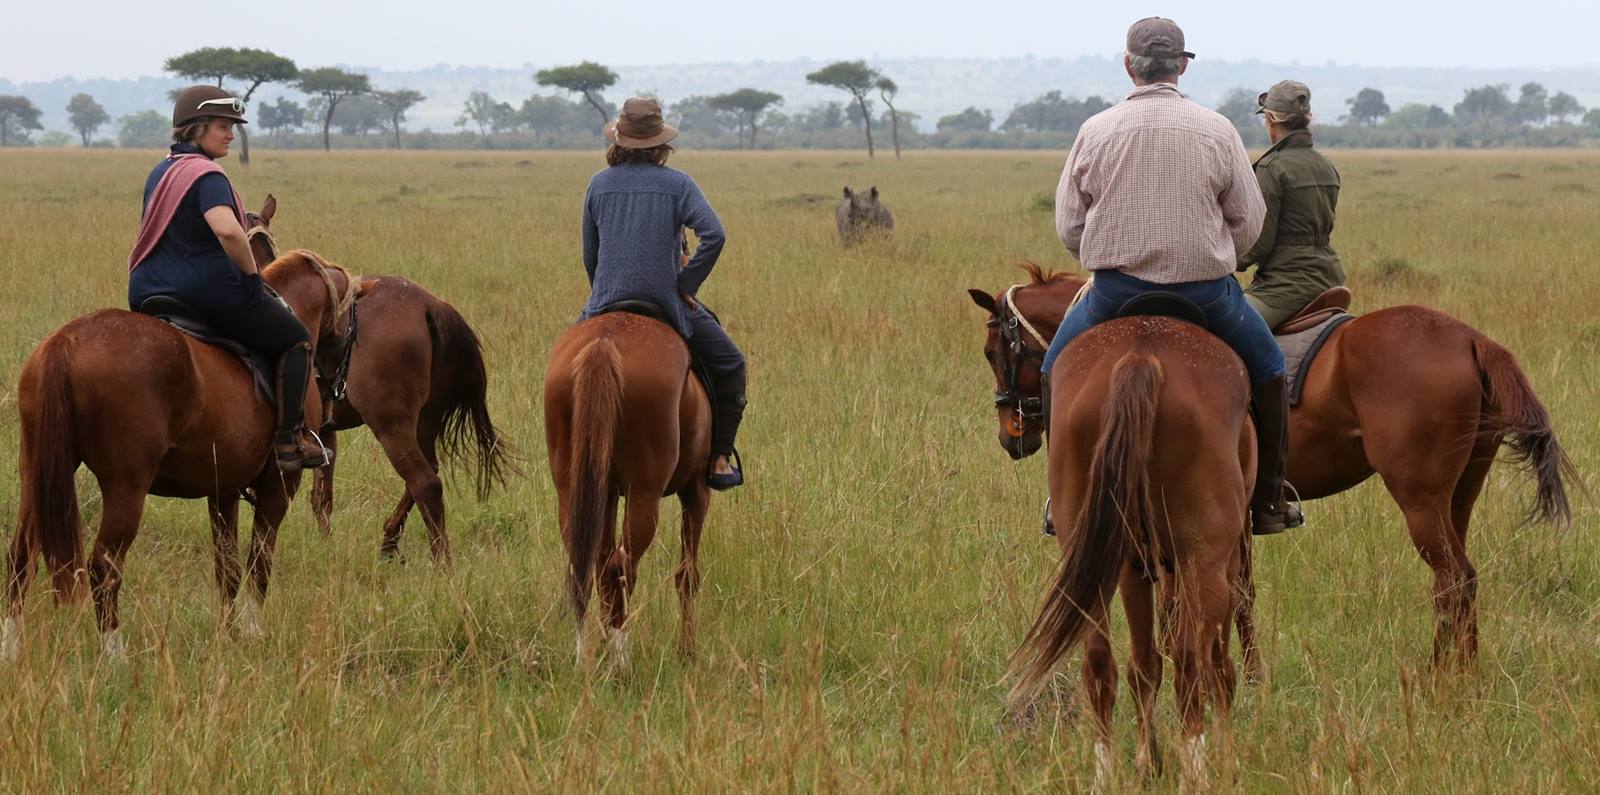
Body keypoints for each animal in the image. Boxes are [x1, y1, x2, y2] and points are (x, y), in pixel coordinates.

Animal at [4, 250, 357, 660]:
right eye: (353, 321)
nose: (335, 393)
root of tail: (68, 340)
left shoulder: (223, 491)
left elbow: (228, 567)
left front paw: (227, 633)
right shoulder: (279, 486)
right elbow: (260, 560)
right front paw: (252, 630)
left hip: (37, 476)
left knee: (20, 558)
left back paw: (10, 649)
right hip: (127, 490)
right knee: (103, 568)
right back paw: (115, 656)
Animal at [245, 196, 514, 563]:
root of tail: (430, 306)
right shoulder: (325, 432)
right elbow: (322, 497)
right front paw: (327, 543)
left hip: (391, 425)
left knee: (425, 481)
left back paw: (439, 562)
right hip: (424, 421)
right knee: (427, 472)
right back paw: (389, 542)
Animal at [542, 307, 713, 667]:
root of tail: (603, 344)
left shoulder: (605, 495)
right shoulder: (697, 491)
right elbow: (687, 575)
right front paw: (687, 653)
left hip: (573, 488)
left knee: (586, 570)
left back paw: (585, 659)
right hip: (644, 493)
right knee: (621, 568)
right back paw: (621, 664)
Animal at [970, 263, 1578, 668]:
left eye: (993, 352)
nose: (1012, 437)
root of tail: (1470, 339)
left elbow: (1211, 596)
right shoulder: (1234, 517)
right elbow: (1238, 592)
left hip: (1420, 500)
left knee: (1454, 579)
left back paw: (1441, 678)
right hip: (1458, 495)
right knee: (1457, 582)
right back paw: (1459, 677)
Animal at [1006, 310, 1255, 790]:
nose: (1012, 438)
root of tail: (1140, 356)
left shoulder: (1132, 566)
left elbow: (1144, 663)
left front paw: (1147, 760)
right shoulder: (1222, 561)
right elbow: (1215, 663)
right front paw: (1227, 758)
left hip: (1100, 561)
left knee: (1103, 662)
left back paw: (1105, 776)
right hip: (1204, 562)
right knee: (1192, 663)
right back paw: (1196, 775)